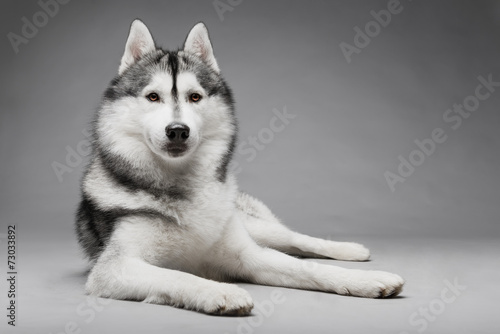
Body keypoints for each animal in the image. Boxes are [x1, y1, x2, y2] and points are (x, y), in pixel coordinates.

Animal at [76, 19, 404, 314]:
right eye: (153, 97)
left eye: (195, 97)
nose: (178, 131)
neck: (182, 185)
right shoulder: (114, 268)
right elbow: (178, 275)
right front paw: (221, 291)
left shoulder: (246, 254)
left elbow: (308, 269)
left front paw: (364, 280)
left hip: (254, 226)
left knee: (295, 240)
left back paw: (351, 250)